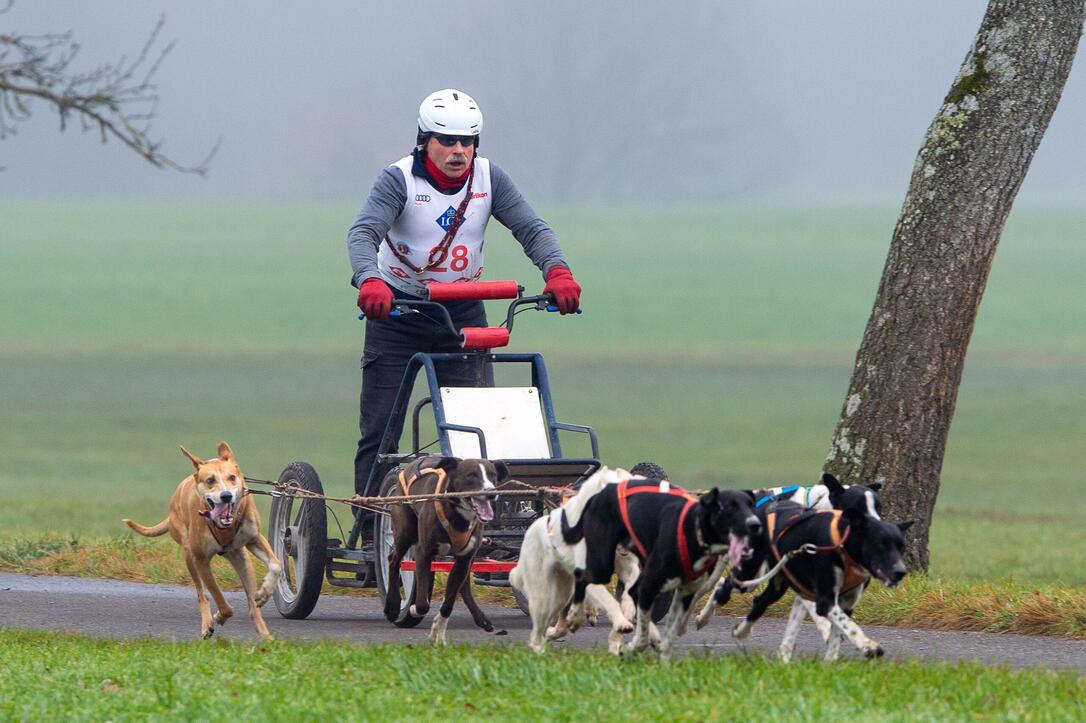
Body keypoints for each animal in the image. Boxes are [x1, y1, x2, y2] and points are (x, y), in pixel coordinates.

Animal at [121, 438, 282, 638]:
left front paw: (264, 593)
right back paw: (208, 622)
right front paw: (219, 616)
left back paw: (265, 632)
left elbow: (276, 564)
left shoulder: (254, 539)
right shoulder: (201, 560)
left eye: (232, 477)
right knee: (201, 592)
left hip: (239, 556)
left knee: (252, 604)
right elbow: (218, 597)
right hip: (189, 554)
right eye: (210, 480)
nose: (226, 496)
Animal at [382, 453, 508, 642]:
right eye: (471, 475)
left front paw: (438, 631)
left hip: (466, 560)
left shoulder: (464, 558)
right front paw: (413, 609)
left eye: (492, 474)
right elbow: (422, 604)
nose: (491, 493)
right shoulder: (423, 553)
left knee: (464, 586)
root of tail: (410, 463)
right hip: (405, 532)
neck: (458, 514)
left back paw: (481, 618)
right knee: (393, 560)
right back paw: (392, 606)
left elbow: (449, 602)